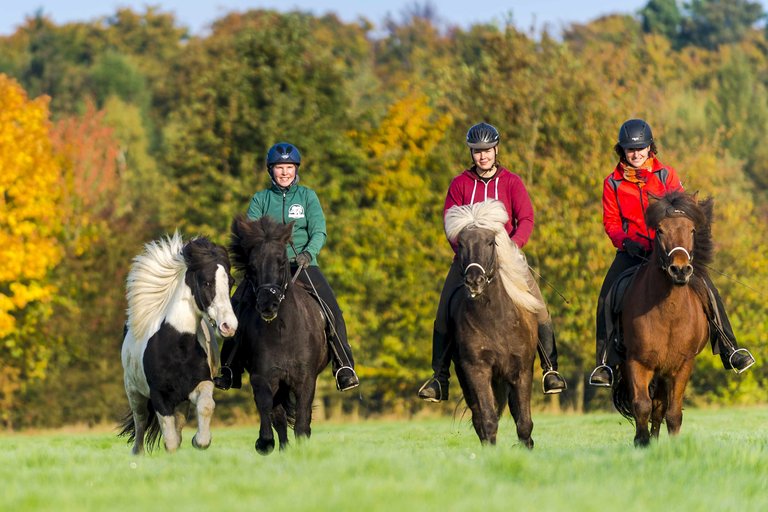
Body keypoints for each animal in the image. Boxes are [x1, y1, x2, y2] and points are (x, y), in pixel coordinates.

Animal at [117, 231, 236, 452]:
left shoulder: (200, 385)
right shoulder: (159, 396)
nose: (229, 326)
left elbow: (206, 407)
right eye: (207, 282)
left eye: (230, 282)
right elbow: (170, 440)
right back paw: (137, 453)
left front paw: (199, 440)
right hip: (135, 393)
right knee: (140, 424)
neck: (178, 347)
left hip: (180, 403)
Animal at [231, 214, 332, 454]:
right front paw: (264, 442)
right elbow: (268, 408)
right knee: (279, 417)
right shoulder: (262, 375)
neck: (281, 331)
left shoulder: (305, 379)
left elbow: (303, 420)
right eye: (252, 266)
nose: (268, 304)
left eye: (282, 263)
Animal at [440, 200, 544, 448]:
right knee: (479, 416)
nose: (474, 281)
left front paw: (527, 448)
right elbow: (487, 419)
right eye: (461, 243)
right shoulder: (477, 369)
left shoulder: (521, 371)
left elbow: (524, 421)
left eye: (490, 241)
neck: (495, 319)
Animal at [612, 190, 712, 446]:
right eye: (659, 230)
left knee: (660, 407)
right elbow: (641, 406)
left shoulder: (681, 366)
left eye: (692, 230)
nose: (680, 270)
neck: (669, 313)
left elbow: (673, 412)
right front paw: (642, 442)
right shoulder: (637, 362)